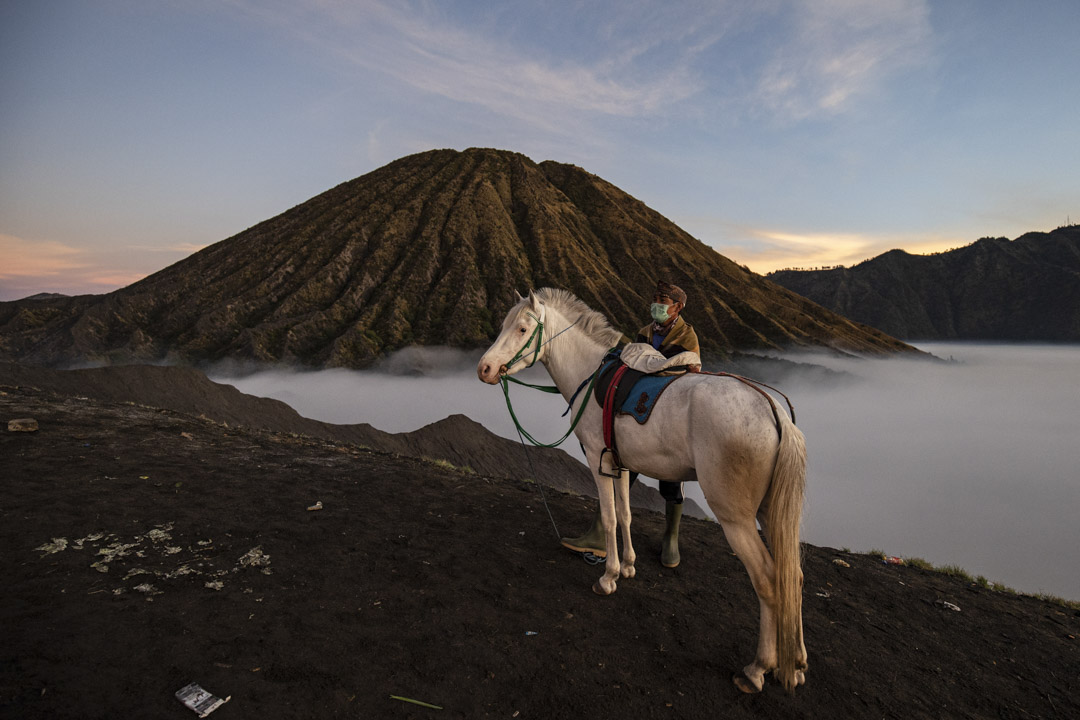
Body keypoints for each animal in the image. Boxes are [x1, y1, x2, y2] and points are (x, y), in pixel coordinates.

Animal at [477, 287, 807, 690]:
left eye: (523, 329)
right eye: (503, 325)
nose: (484, 368)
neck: (590, 374)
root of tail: (773, 412)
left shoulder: (597, 460)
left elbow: (608, 516)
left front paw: (608, 577)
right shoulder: (620, 465)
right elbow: (626, 515)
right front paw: (630, 565)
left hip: (737, 519)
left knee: (768, 581)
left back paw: (757, 668)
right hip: (771, 511)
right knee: (794, 577)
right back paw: (796, 662)